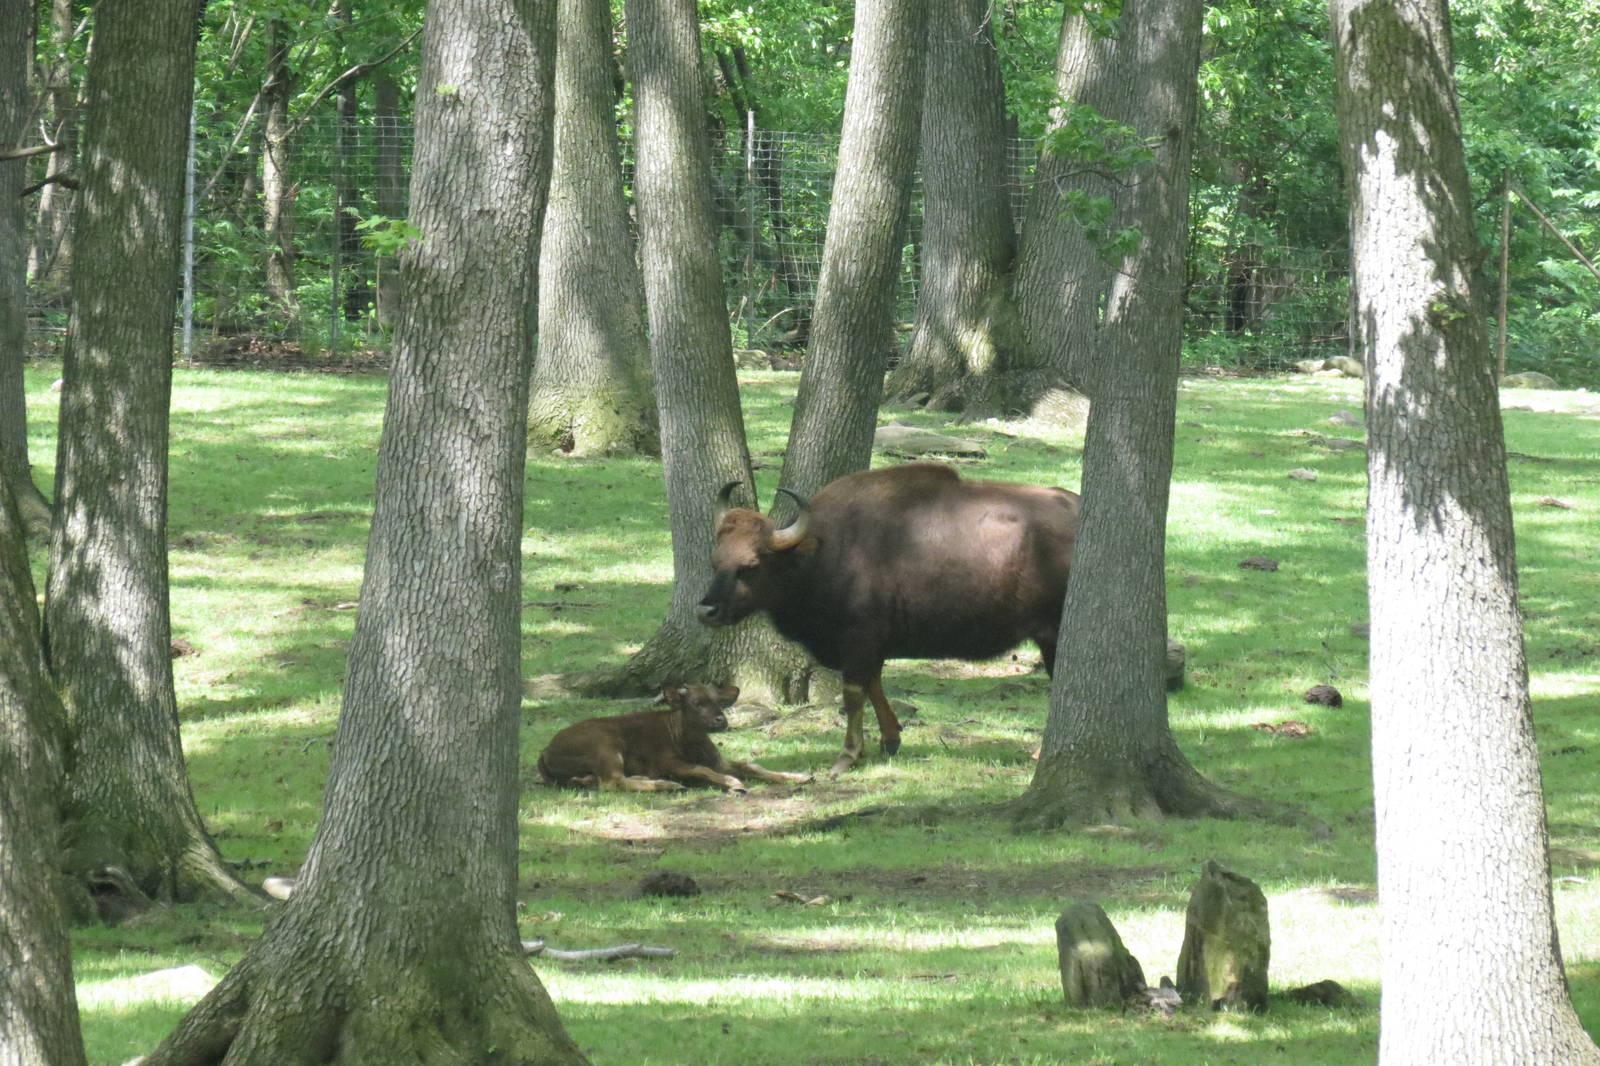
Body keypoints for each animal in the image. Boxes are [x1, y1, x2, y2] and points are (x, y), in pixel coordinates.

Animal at [535, 683, 809, 792]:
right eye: (697, 703)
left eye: (719, 702)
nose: (720, 720)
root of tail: (545, 751)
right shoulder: (666, 761)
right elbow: (702, 770)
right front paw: (732, 783)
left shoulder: (718, 760)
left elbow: (753, 765)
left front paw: (799, 776)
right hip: (605, 744)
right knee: (612, 782)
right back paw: (666, 785)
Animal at [696, 462, 1080, 774]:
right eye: (715, 560)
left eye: (750, 565)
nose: (706, 610)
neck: (821, 553)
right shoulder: (870, 647)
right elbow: (874, 685)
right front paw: (889, 740)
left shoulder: (858, 640)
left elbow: (853, 694)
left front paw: (848, 756)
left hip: (1053, 636)